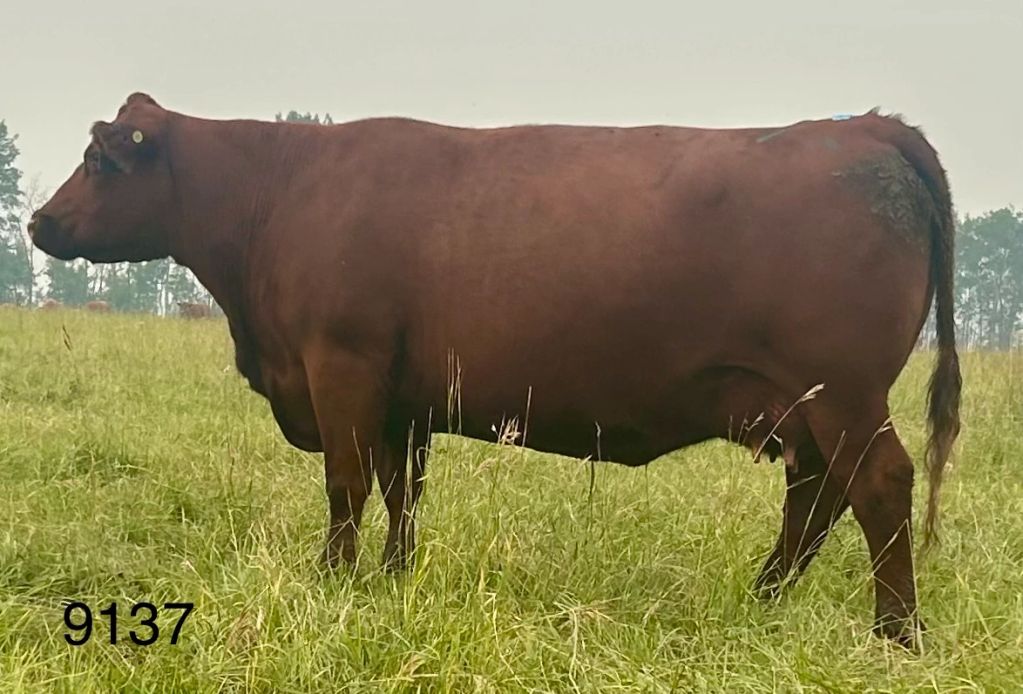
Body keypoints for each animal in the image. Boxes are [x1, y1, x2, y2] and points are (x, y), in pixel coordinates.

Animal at [29, 93, 961, 646]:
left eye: (101, 159)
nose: (40, 223)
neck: (281, 191)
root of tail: (862, 125)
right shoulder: (402, 397)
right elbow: (402, 491)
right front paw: (393, 579)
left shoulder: (342, 368)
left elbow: (346, 484)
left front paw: (332, 579)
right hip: (800, 405)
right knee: (816, 497)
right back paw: (761, 600)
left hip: (843, 395)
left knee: (877, 485)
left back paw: (895, 633)